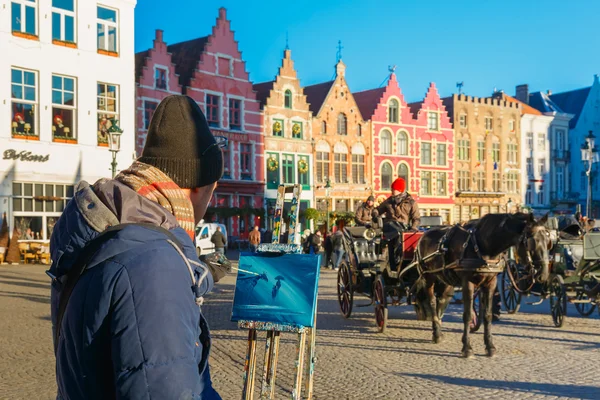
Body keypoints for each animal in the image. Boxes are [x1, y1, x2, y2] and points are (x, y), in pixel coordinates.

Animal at [414, 214, 552, 358]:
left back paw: (439, 330)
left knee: (440, 300)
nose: (543, 274)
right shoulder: (467, 282)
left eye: (548, 241)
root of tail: (424, 235)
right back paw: (436, 334)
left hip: (444, 279)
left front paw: (490, 346)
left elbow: (487, 315)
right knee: (432, 302)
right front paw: (467, 347)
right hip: (428, 277)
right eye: (531, 241)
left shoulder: (490, 283)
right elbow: (468, 315)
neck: (483, 245)